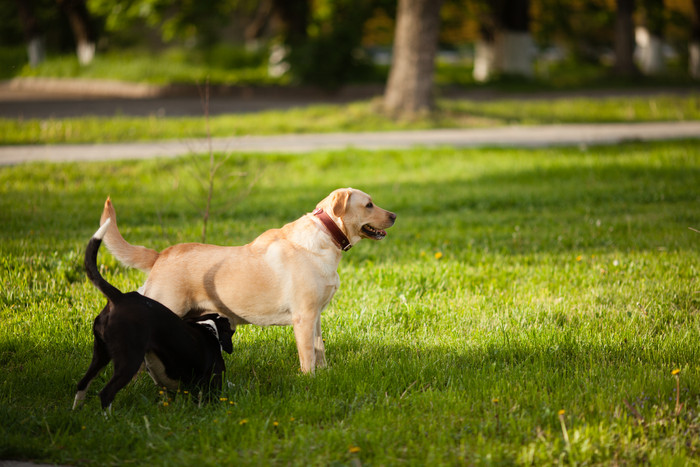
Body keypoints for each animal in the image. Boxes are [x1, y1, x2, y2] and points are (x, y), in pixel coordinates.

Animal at [73, 218, 234, 412]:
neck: (209, 329)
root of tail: (119, 297)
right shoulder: (213, 379)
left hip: (100, 353)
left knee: (82, 383)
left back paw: (76, 411)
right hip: (129, 357)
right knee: (106, 393)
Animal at [99, 186, 396, 372]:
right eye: (369, 204)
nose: (394, 215)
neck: (325, 236)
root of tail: (161, 254)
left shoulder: (316, 317)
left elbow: (319, 348)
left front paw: (325, 375)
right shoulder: (304, 317)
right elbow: (308, 354)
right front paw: (309, 380)